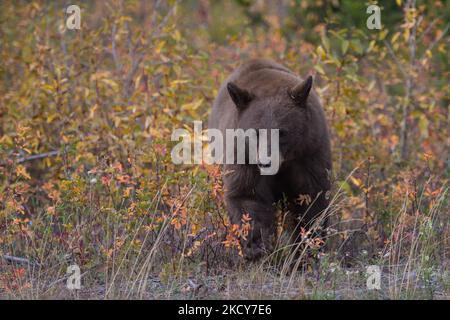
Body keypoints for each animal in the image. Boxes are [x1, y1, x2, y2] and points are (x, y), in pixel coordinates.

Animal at [209, 59, 332, 260]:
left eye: (282, 132)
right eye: (256, 132)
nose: (266, 162)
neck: (283, 165)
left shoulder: (309, 153)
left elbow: (311, 198)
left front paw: (308, 248)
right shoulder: (244, 156)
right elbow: (248, 196)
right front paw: (257, 248)